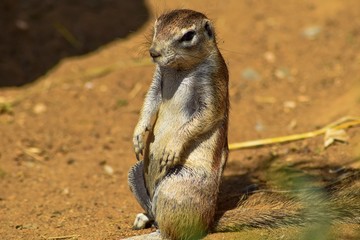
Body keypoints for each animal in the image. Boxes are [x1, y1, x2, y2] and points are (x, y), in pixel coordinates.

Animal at [126, 8, 360, 240]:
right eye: (156, 27)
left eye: (188, 36)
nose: (153, 52)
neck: (180, 69)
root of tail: (209, 221)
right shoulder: (158, 78)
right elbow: (149, 103)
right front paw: (138, 135)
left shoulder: (213, 84)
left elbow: (204, 117)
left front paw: (172, 147)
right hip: (136, 172)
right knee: (154, 211)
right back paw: (144, 219)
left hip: (176, 187)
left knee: (173, 232)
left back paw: (147, 235)